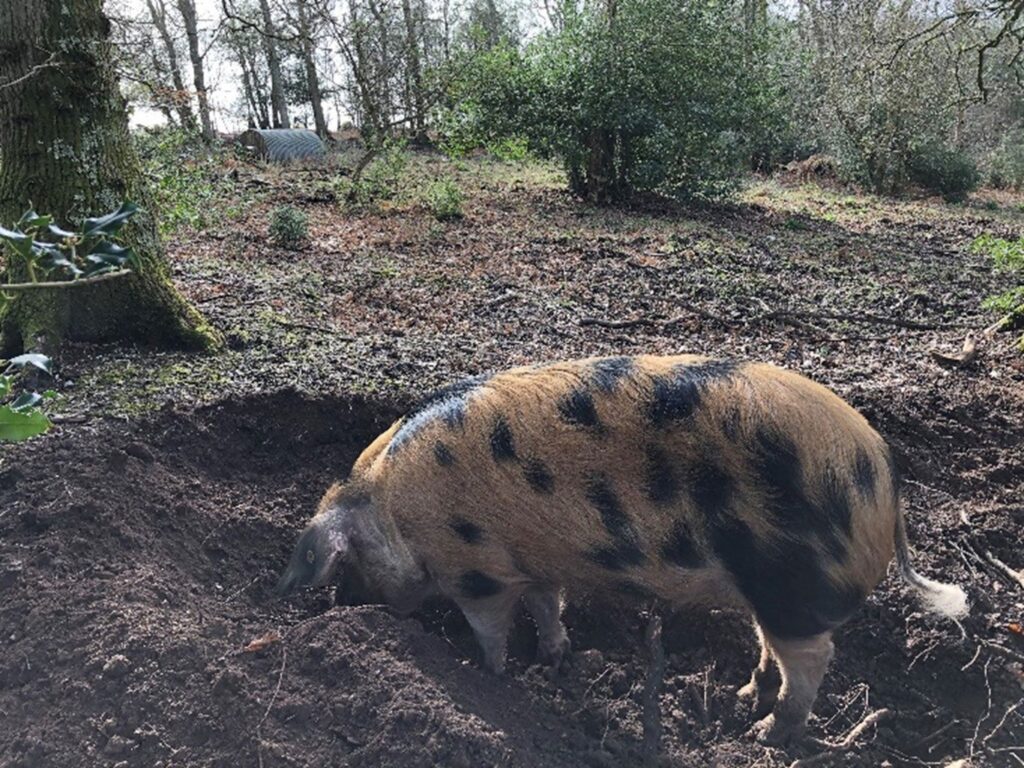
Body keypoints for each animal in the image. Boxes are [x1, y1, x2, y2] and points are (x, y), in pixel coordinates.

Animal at [277, 355, 968, 745]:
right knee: (774, 643)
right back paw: (747, 697)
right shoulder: (532, 562)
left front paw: (489, 675)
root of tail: (882, 470)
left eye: (348, 562)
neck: (392, 510)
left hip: (789, 579)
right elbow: (548, 606)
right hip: (769, 591)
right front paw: (553, 659)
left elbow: (492, 627)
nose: (346, 605)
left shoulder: (477, 571)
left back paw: (768, 735)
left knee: (815, 655)